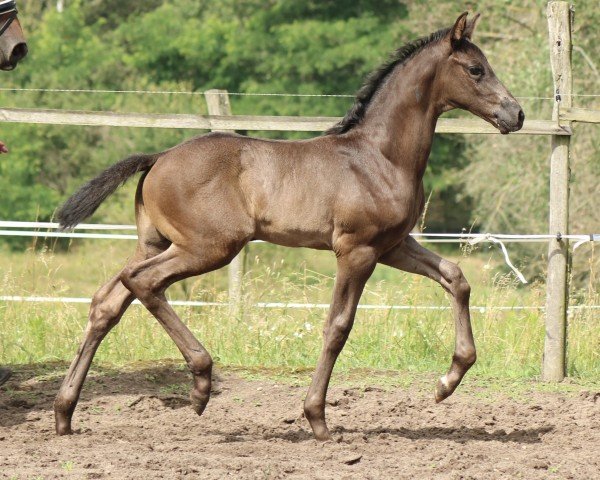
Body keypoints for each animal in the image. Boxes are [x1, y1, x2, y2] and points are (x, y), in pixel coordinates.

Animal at [54, 13, 524, 440]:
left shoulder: (393, 246)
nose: (515, 114)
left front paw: (446, 383)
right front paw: (317, 419)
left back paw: (64, 413)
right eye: (476, 69)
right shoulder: (357, 251)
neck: (379, 156)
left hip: (156, 242)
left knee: (108, 302)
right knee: (143, 282)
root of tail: (158, 157)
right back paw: (201, 383)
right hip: (209, 247)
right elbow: (338, 326)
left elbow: (456, 278)